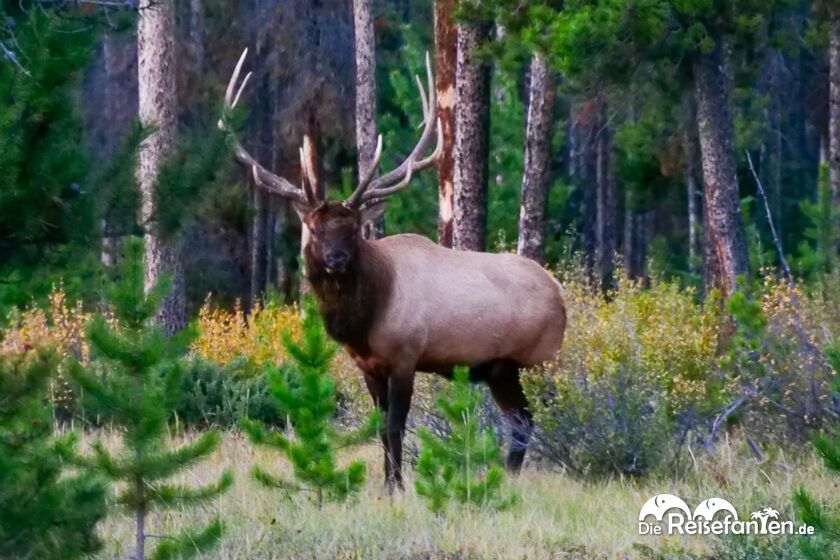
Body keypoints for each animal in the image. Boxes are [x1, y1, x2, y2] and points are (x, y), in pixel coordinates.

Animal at [220, 48, 568, 488]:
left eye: (354, 228)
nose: (336, 259)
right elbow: (379, 427)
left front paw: (397, 484)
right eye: (314, 228)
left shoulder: (407, 354)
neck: (365, 318)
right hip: (499, 370)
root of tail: (560, 293)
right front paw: (389, 483)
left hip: (538, 360)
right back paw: (507, 477)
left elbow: (395, 426)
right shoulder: (369, 365)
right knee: (520, 420)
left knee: (536, 418)